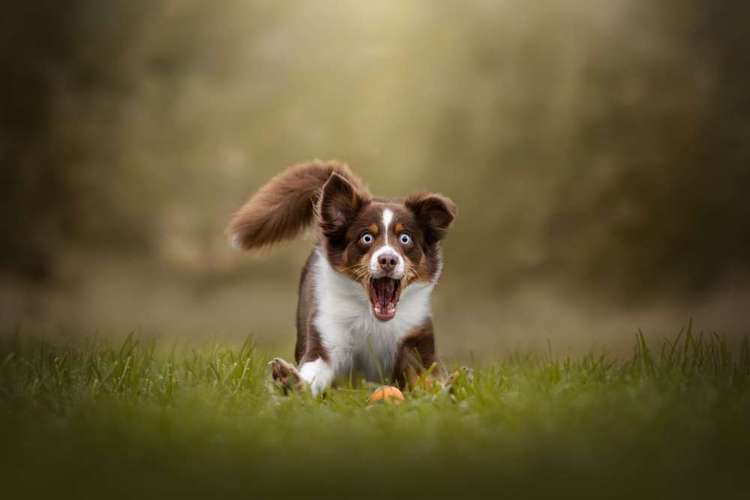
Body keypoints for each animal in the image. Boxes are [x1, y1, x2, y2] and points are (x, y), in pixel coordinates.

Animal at [226, 160, 456, 394]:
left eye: (405, 238)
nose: (388, 260)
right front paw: (291, 380)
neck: (371, 317)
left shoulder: (416, 337)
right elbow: (315, 368)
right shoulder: (328, 333)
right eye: (366, 237)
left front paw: (448, 387)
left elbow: (427, 377)